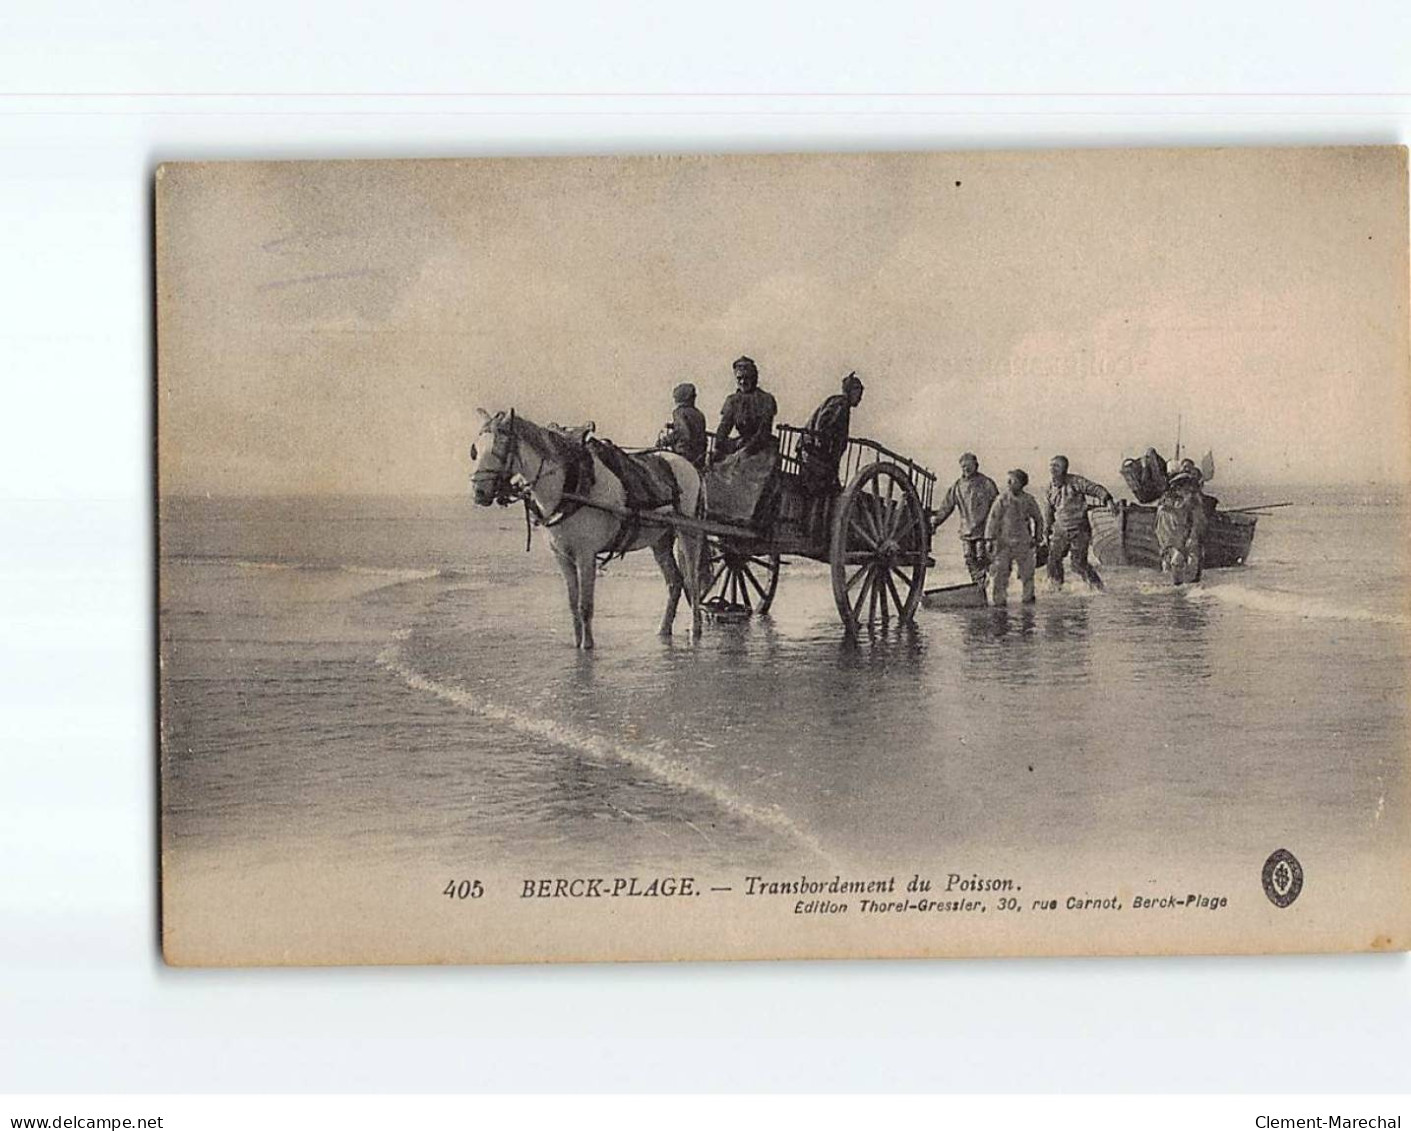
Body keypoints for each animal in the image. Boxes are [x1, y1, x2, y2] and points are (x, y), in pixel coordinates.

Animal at [468, 408, 705, 648]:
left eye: (499, 446)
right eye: (475, 450)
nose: (479, 492)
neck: (568, 486)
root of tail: (687, 464)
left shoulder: (585, 555)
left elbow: (585, 605)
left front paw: (587, 645)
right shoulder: (562, 556)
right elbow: (573, 604)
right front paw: (577, 642)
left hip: (688, 533)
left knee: (693, 582)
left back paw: (695, 628)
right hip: (660, 540)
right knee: (674, 583)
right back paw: (664, 629)